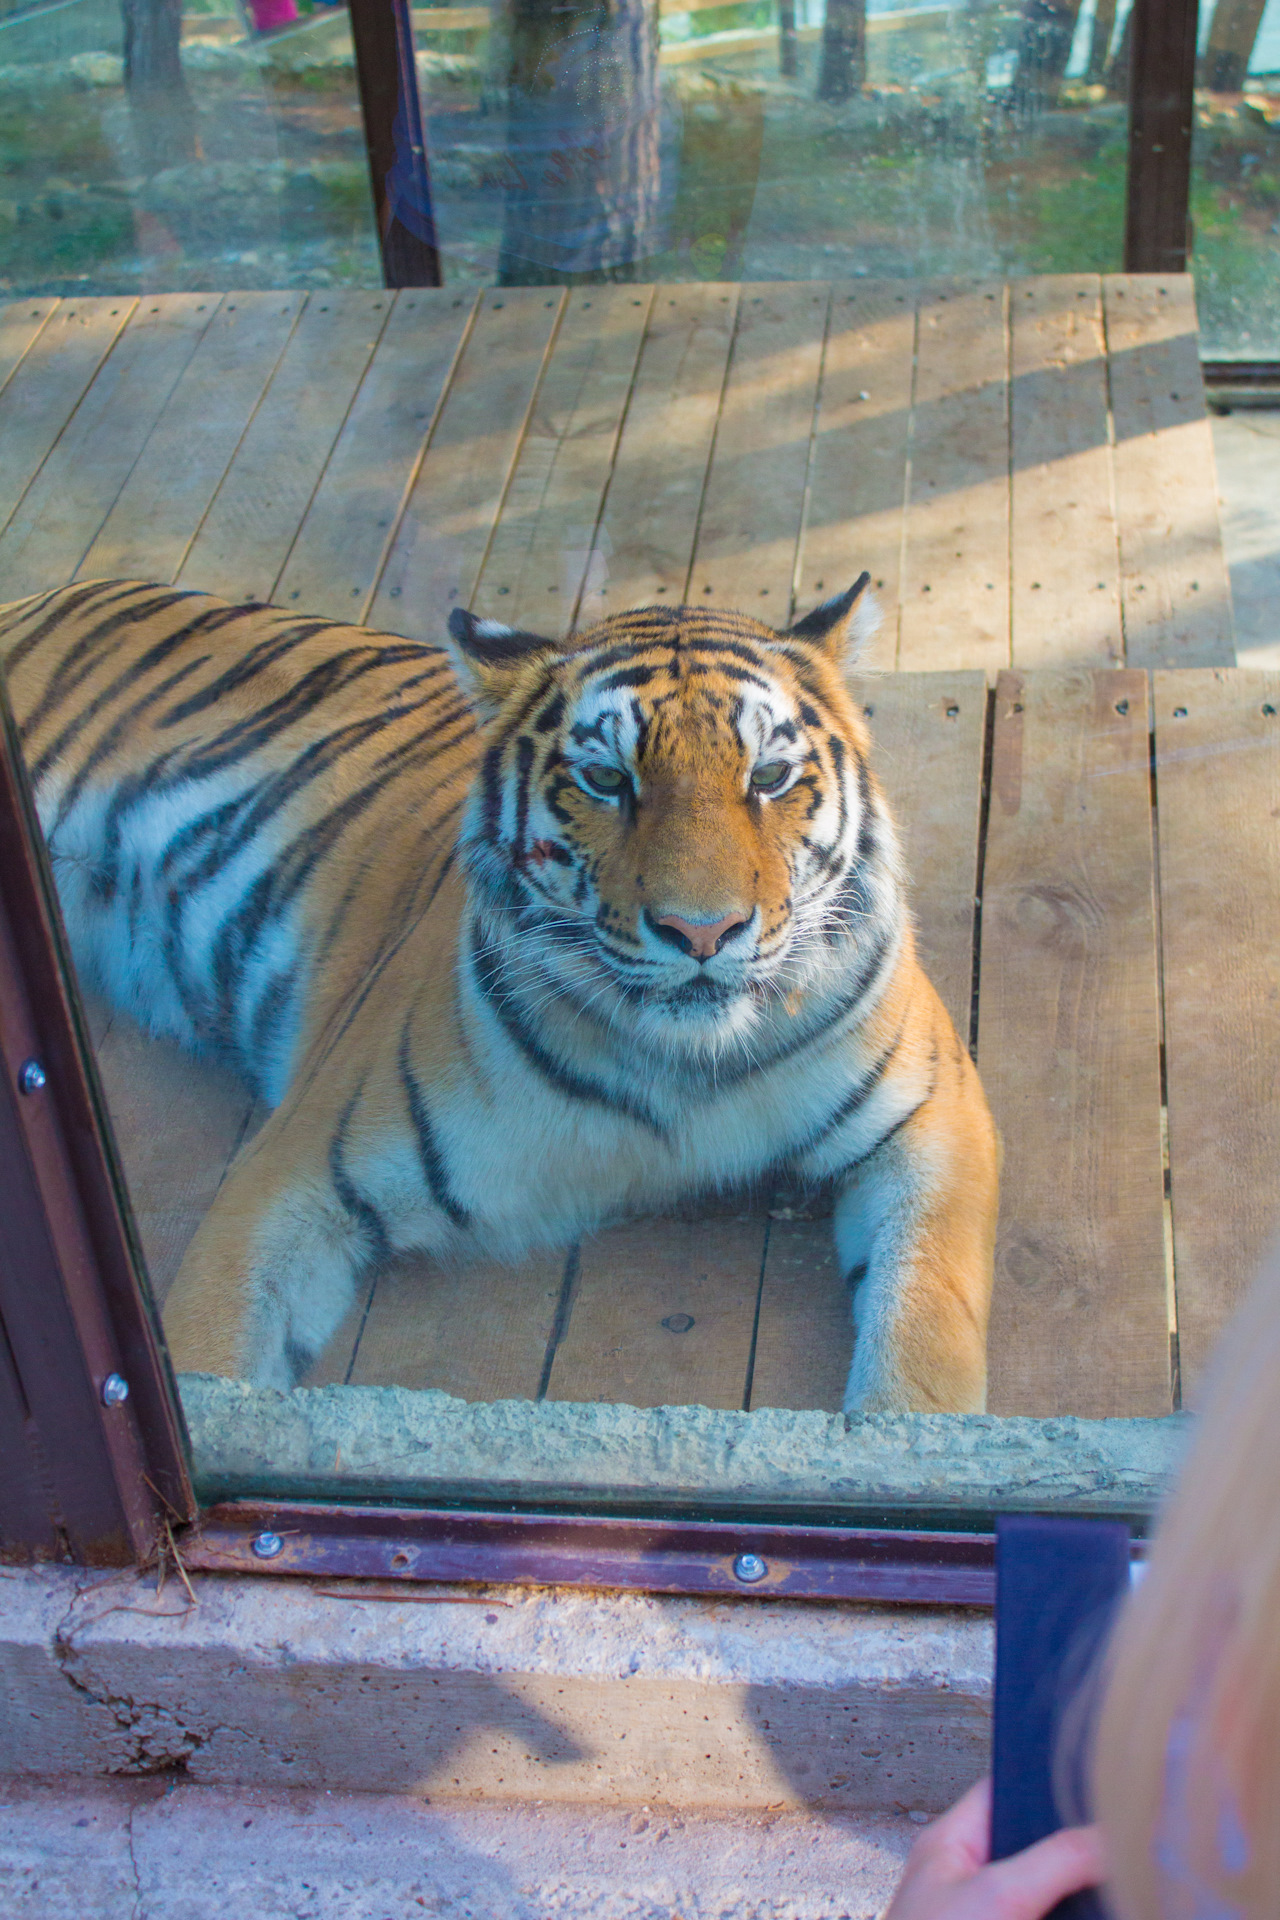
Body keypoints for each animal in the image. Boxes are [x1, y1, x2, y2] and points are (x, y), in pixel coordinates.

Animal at [0, 568, 997, 1413]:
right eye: (606, 780)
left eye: (771, 777)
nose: (702, 933)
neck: (681, 1068)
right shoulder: (294, 1173)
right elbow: (214, 1361)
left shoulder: (934, 1121)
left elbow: (925, 1338)